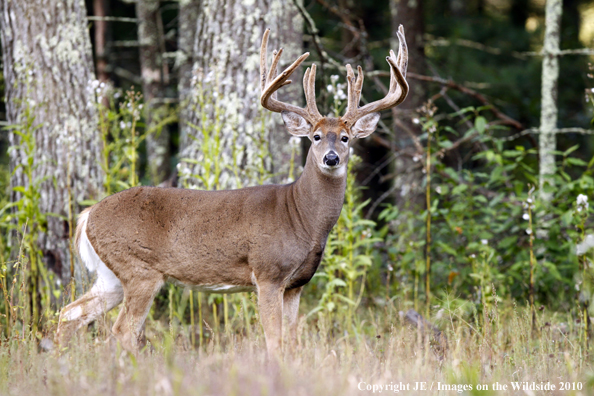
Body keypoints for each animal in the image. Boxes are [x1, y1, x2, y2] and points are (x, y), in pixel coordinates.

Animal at [56, 27, 408, 356]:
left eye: (346, 138)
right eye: (316, 137)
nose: (331, 158)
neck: (301, 218)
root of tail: (88, 215)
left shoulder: (296, 284)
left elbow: (293, 342)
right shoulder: (267, 273)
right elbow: (275, 341)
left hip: (111, 276)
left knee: (68, 314)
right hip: (138, 269)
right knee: (121, 330)